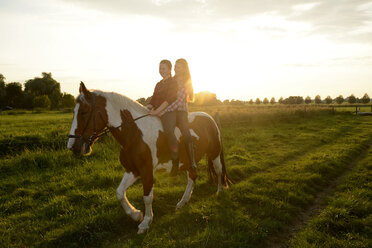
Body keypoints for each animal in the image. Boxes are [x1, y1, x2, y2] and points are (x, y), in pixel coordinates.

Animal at [65, 83, 231, 234]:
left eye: (84, 112)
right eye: (74, 112)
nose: (72, 146)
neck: (135, 134)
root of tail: (209, 117)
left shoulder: (147, 171)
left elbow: (147, 197)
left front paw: (145, 222)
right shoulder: (132, 170)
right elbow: (119, 193)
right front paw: (136, 214)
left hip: (215, 154)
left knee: (218, 171)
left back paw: (219, 191)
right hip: (189, 162)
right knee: (192, 176)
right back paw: (182, 202)